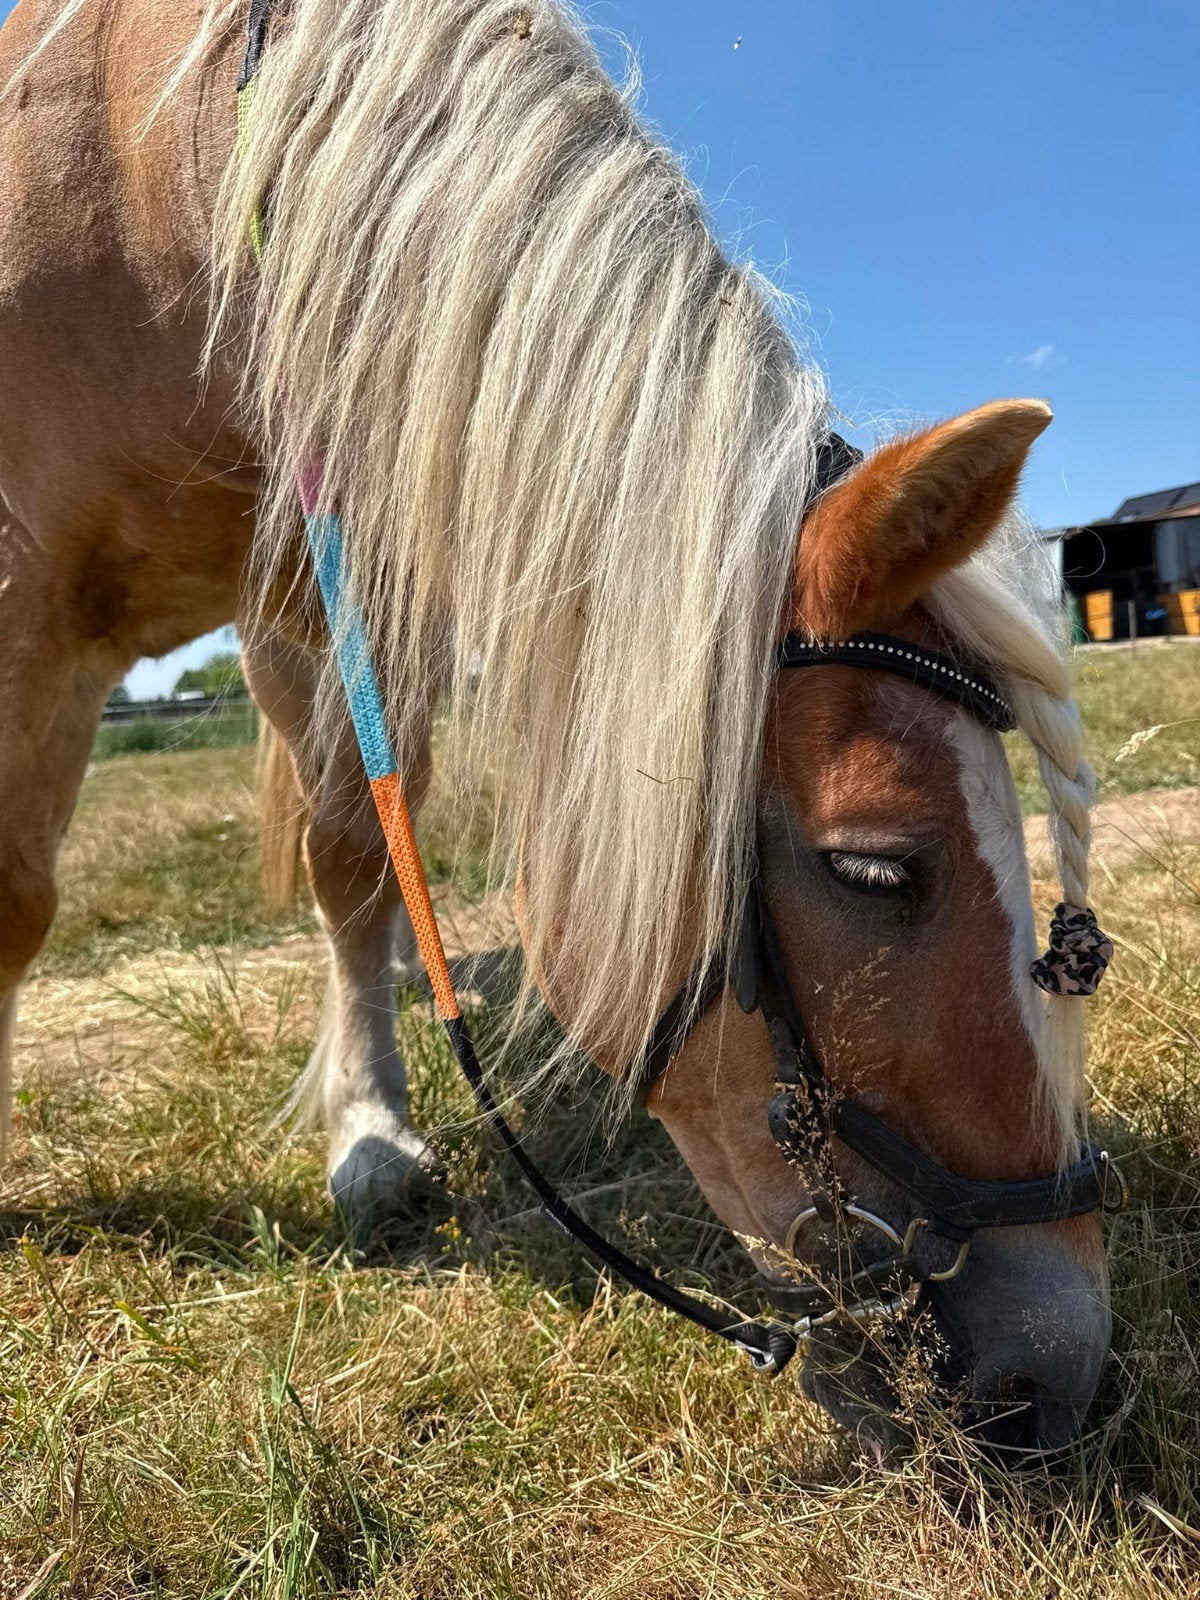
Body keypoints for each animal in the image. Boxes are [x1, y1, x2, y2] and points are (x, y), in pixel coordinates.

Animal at [0, 0, 1113, 1457]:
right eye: (875, 867)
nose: (1066, 1366)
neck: (160, 174)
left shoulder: (330, 574)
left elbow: (357, 848)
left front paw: (370, 1124)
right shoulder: (36, 591)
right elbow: (21, 900)